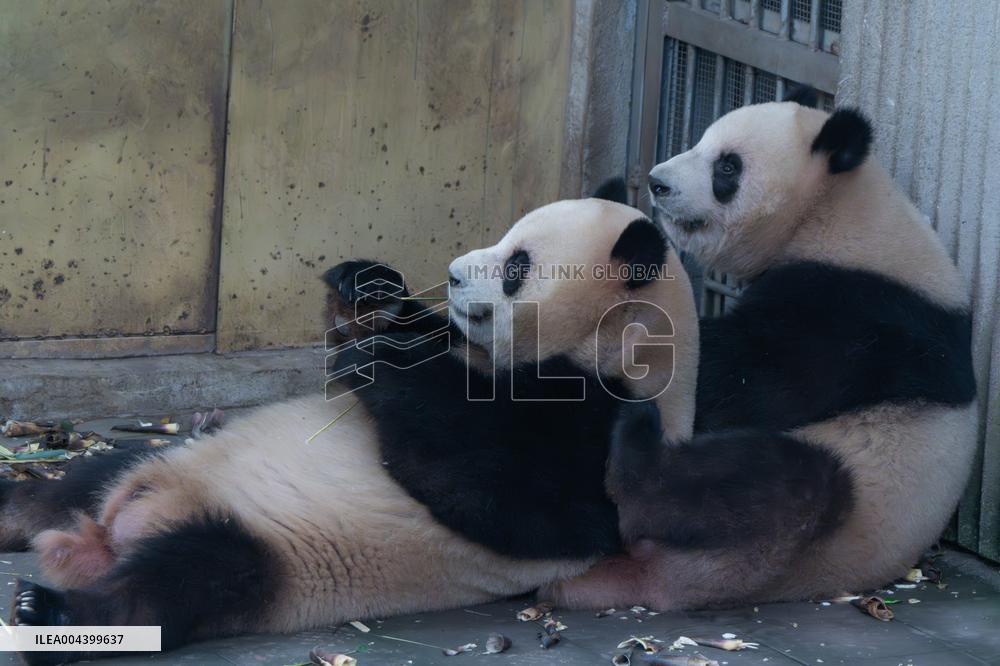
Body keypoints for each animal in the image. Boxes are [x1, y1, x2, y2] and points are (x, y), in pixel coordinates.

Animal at [6, 191, 700, 664]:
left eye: (517, 266)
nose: (452, 273)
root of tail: (108, 533)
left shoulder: (601, 427)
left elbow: (499, 493)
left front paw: (380, 360)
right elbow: (412, 328)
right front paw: (367, 288)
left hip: (270, 554)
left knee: (190, 578)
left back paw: (52, 611)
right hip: (161, 461)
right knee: (73, 483)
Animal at [540, 90, 978, 610]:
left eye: (727, 167)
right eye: (701, 140)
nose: (657, 182)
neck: (837, 213)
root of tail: (658, 580)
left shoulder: (854, 314)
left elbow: (740, 380)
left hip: (833, 515)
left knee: (778, 482)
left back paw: (639, 450)